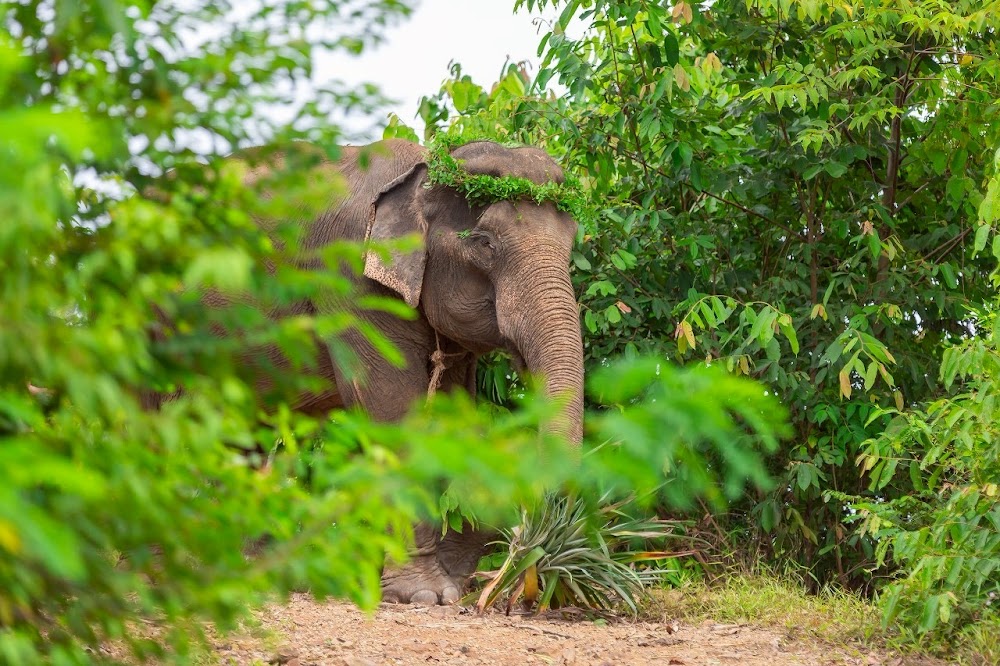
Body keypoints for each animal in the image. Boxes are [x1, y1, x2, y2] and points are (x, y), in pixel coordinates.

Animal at [161, 139, 585, 605]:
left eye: (571, 243)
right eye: (485, 243)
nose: (525, 553)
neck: (424, 173)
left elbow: (455, 417)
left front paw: (455, 579)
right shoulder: (351, 281)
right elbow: (392, 411)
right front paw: (425, 595)